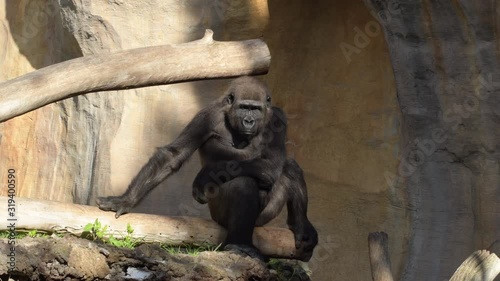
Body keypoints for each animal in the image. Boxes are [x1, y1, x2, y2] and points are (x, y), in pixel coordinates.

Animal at [96, 76, 316, 260]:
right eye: (244, 107)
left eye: (256, 109)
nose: (249, 121)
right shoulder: (207, 115)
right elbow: (173, 155)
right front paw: (126, 200)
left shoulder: (278, 117)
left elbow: (271, 163)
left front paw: (204, 175)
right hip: (219, 215)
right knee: (244, 183)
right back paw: (240, 243)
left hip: (262, 219)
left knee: (289, 167)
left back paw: (299, 225)